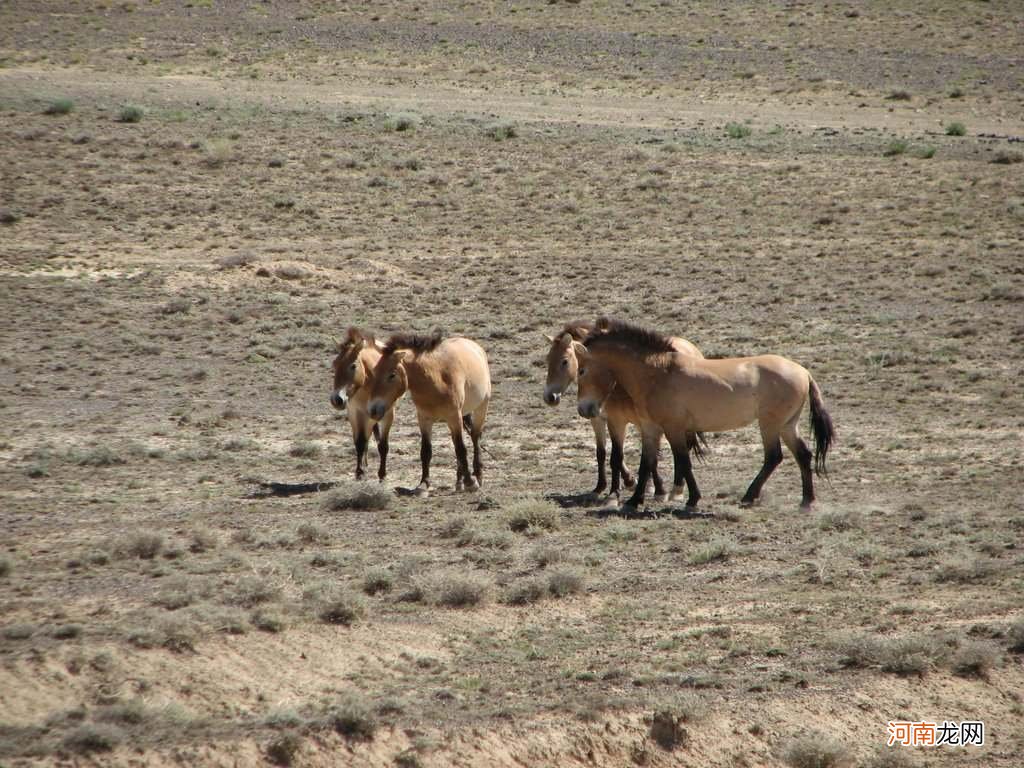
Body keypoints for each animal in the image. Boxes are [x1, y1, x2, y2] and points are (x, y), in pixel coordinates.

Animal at [327, 329, 395, 481]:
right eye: (334, 364)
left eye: (353, 366)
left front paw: (382, 474)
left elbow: (383, 445)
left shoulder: (387, 415)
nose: (336, 399)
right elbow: (359, 442)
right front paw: (359, 472)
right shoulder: (355, 413)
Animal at [366, 333, 493, 495]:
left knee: (475, 438)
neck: (436, 379)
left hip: (480, 408)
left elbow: (461, 449)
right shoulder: (424, 419)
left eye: (392, 375)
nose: (373, 410)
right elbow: (426, 451)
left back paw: (478, 475)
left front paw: (471, 482)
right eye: (374, 372)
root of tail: (475, 347)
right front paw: (423, 484)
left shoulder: (454, 417)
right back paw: (459, 482)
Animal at [544, 321, 704, 501]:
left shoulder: (640, 422)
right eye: (548, 359)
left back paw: (677, 488)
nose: (549, 397)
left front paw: (655, 489)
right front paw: (607, 486)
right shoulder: (603, 420)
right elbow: (606, 454)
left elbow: (648, 457)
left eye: (564, 361)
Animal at [573, 319, 835, 512]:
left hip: (770, 425)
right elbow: (646, 463)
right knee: (803, 455)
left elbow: (683, 462)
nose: (584, 409)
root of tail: (803, 372)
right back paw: (806, 501)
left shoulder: (674, 428)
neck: (657, 373)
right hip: (787, 425)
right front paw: (634, 501)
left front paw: (692, 500)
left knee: (773, 457)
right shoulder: (650, 428)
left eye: (582, 370)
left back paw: (749, 497)